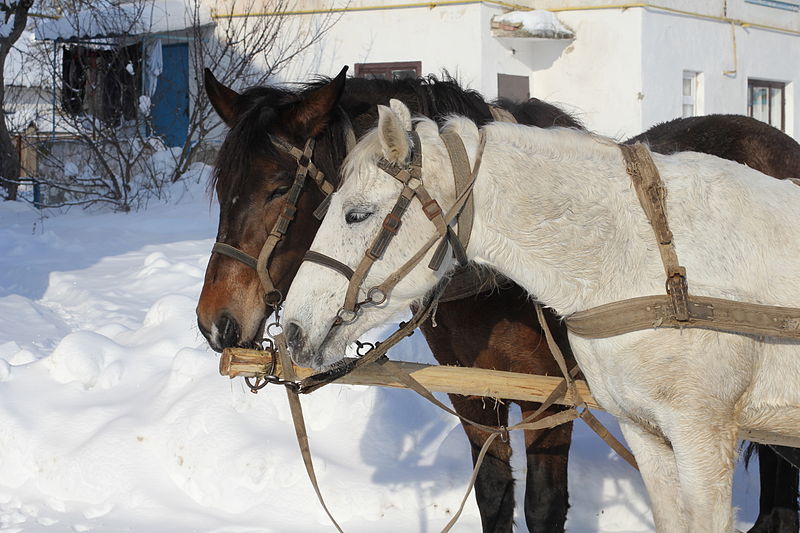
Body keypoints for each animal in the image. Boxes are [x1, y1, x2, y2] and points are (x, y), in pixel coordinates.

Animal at [195, 67, 800, 532]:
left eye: (281, 190)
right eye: (221, 185)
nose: (215, 323)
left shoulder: (553, 401)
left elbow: (543, 506)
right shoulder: (474, 395)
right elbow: (493, 497)